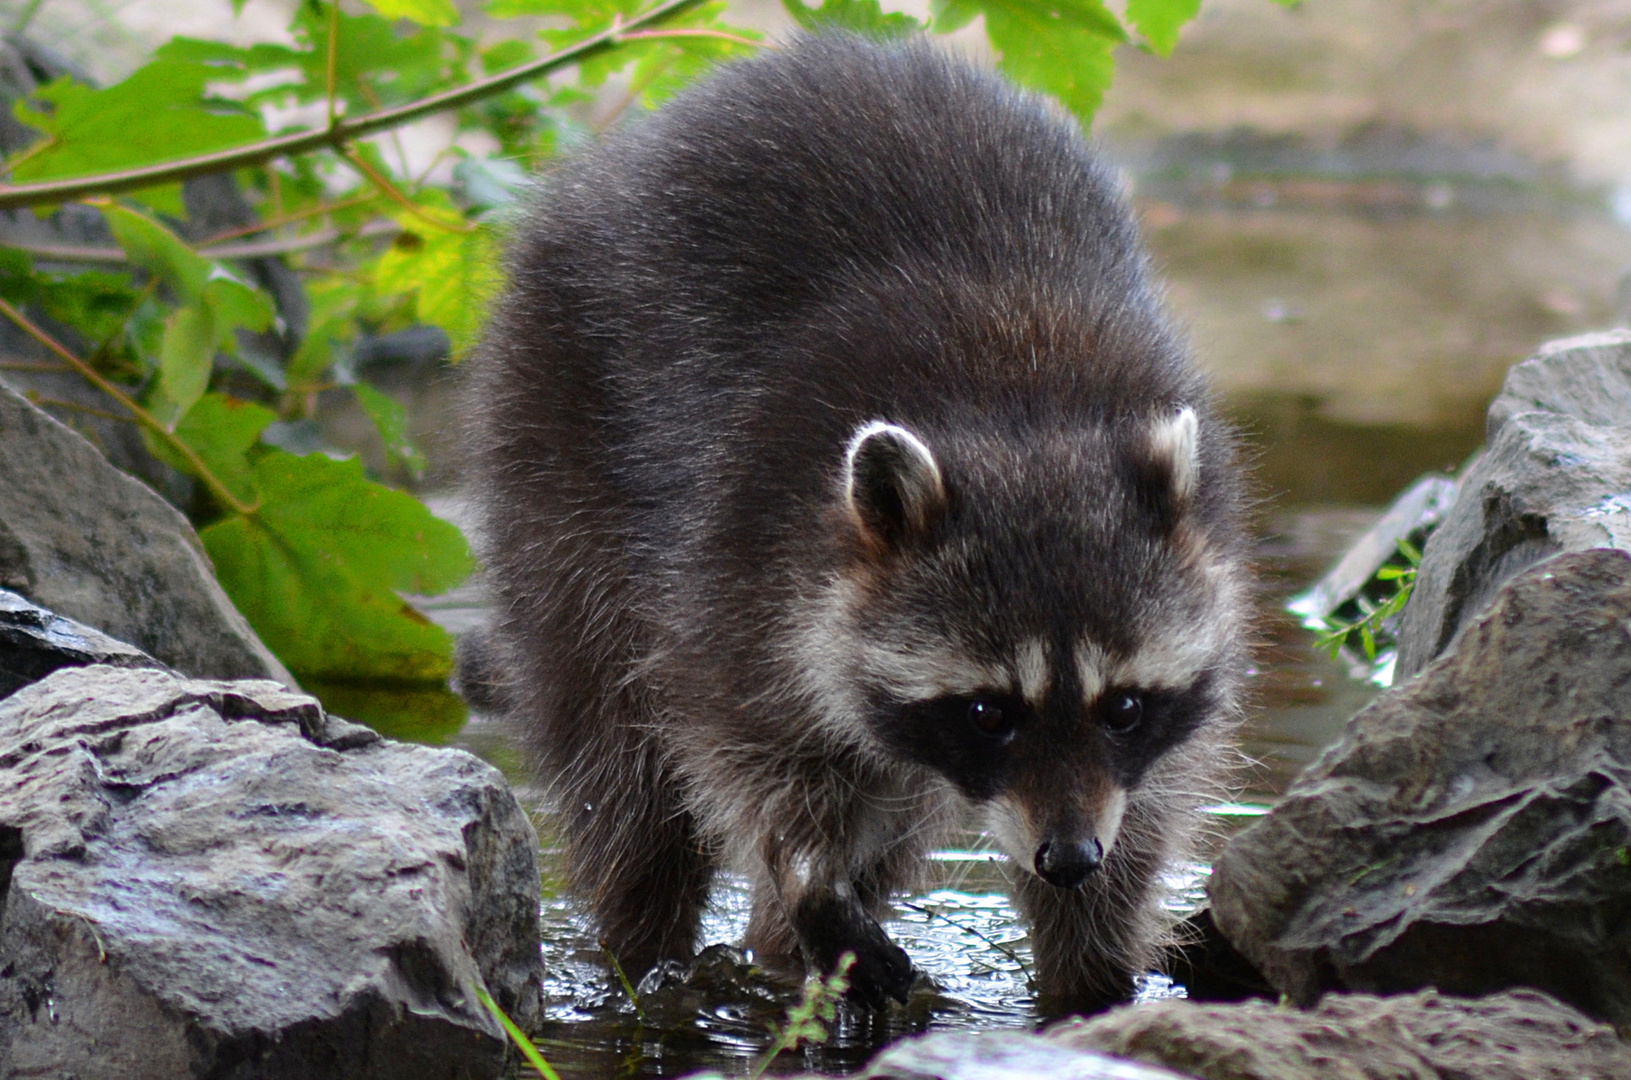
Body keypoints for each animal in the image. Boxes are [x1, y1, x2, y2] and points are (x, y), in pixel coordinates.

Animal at [472, 35, 1246, 1018]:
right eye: (988, 710)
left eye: (1126, 707)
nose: (1069, 857)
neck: (1022, 420)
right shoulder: (743, 558)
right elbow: (742, 752)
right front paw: (806, 877)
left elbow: (1145, 806)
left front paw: (1091, 970)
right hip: (556, 436)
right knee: (619, 760)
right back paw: (645, 949)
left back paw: (773, 955)